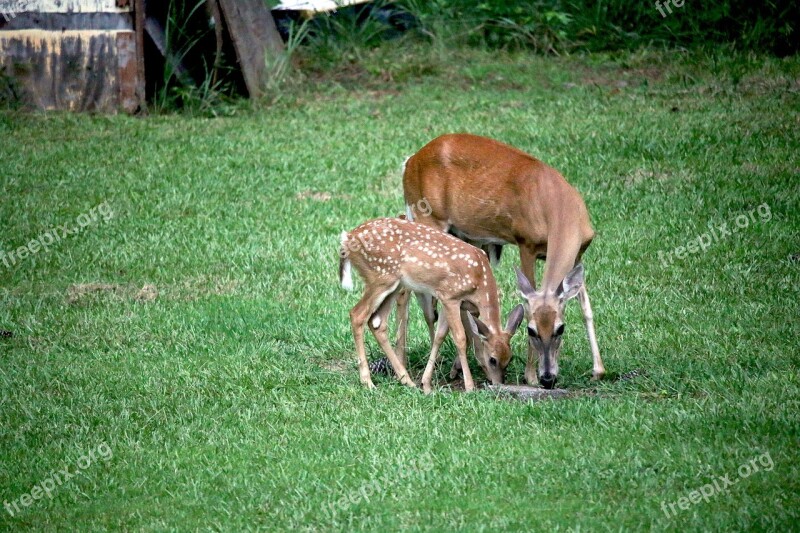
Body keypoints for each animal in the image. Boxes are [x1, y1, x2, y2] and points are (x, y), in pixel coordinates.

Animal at [338, 214, 524, 392]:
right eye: (493, 359)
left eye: (510, 358)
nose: (498, 383)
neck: (480, 281)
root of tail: (348, 238)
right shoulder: (451, 296)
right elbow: (460, 338)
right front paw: (469, 386)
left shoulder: (448, 299)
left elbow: (440, 336)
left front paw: (426, 384)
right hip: (380, 277)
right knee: (357, 314)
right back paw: (368, 382)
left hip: (394, 284)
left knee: (377, 322)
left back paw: (406, 380)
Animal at [396, 133, 604, 388]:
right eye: (531, 330)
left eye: (561, 329)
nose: (547, 379)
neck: (560, 211)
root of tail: (410, 160)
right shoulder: (526, 243)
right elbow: (527, 299)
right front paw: (530, 376)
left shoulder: (578, 253)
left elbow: (586, 309)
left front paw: (598, 370)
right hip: (429, 219)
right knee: (407, 289)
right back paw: (405, 368)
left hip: (464, 236)